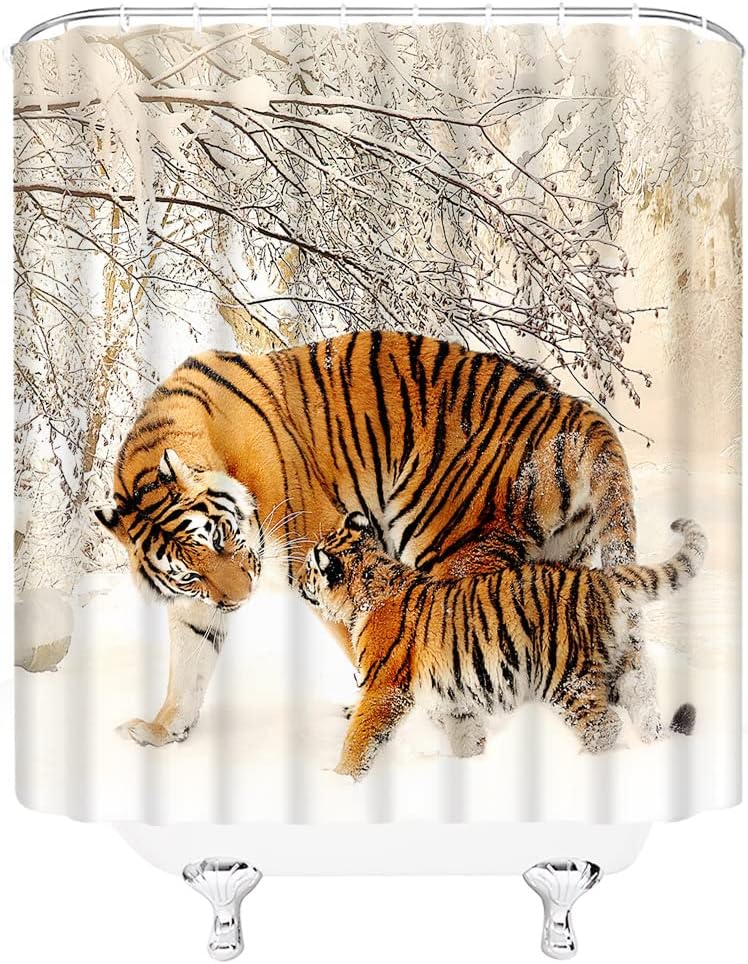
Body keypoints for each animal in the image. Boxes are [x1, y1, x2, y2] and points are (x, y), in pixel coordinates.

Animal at [96, 330, 657, 749]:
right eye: (189, 573)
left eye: (221, 539)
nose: (241, 598)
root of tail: (571, 409)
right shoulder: (198, 603)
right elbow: (189, 662)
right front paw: (163, 730)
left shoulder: (318, 553)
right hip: (564, 563)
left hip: (453, 546)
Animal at [298, 512, 706, 781]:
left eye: (309, 568)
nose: (298, 580)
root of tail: (598, 577)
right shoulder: (456, 698)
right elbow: (467, 736)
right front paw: (471, 766)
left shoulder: (384, 689)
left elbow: (360, 738)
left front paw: (339, 780)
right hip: (622, 666)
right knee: (644, 703)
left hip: (567, 678)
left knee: (603, 725)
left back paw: (586, 764)